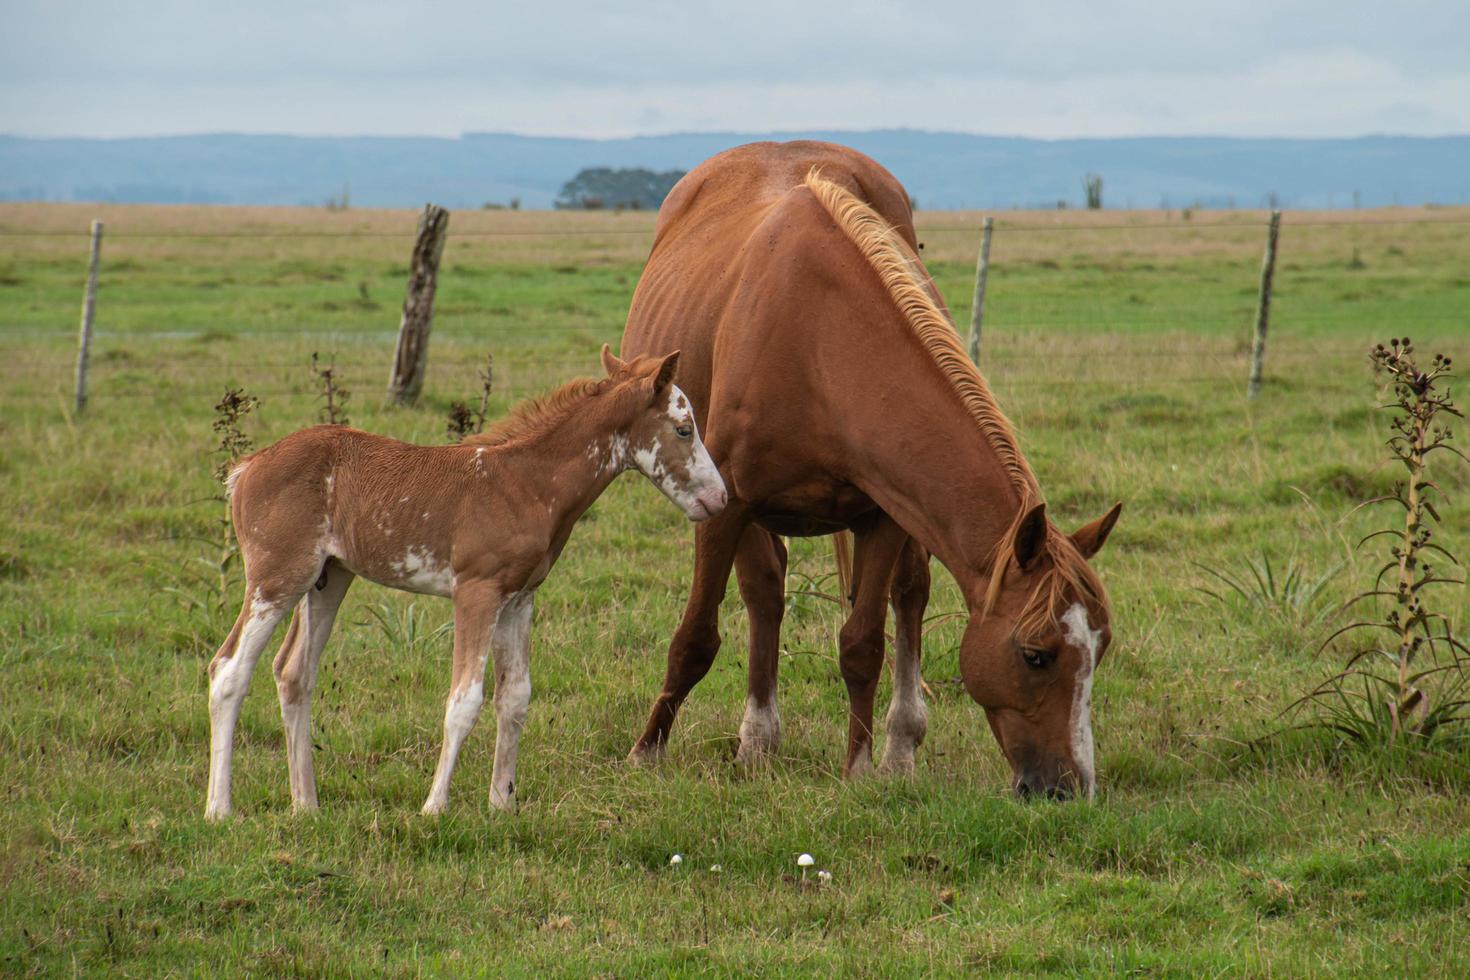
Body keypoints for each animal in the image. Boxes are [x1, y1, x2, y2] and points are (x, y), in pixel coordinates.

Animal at [205, 348, 723, 822]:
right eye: (684, 429)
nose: (719, 498)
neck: (526, 484)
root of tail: (248, 467)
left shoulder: (519, 599)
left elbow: (514, 697)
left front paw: (502, 804)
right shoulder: (477, 591)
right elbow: (465, 699)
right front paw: (434, 808)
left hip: (328, 579)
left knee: (294, 673)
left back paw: (306, 806)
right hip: (278, 575)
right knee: (229, 670)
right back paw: (219, 809)